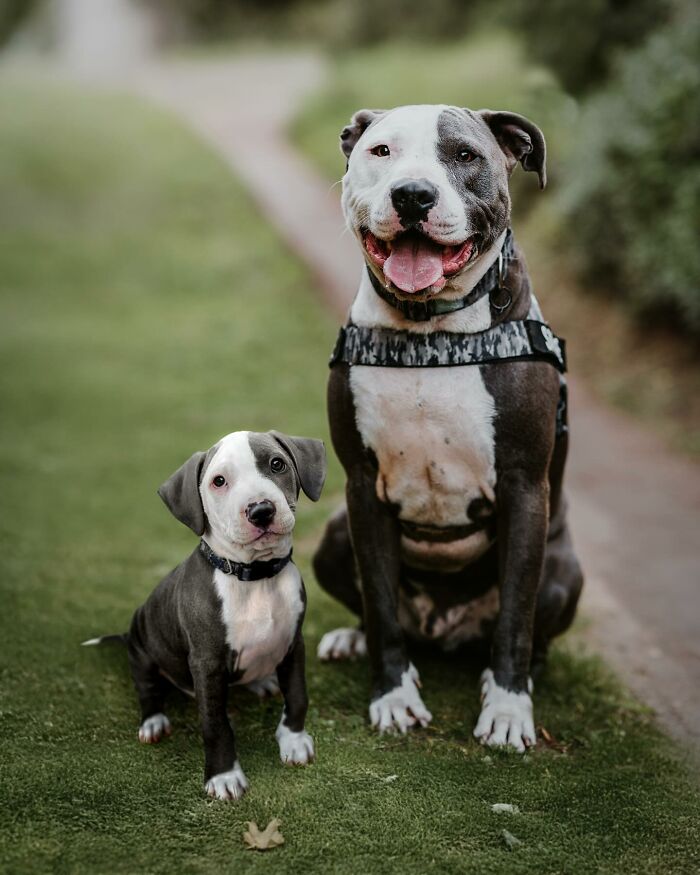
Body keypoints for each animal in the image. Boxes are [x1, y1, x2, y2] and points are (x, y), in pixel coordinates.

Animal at [84, 430, 328, 800]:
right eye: (219, 481)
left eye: (277, 464)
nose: (261, 510)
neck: (255, 578)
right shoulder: (207, 662)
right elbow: (215, 724)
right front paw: (224, 776)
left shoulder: (292, 643)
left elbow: (298, 695)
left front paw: (294, 741)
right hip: (142, 647)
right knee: (147, 689)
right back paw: (153, 721)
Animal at [314, 104, 584, 752]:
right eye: (381, 151)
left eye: (464, 155)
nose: (413, 194)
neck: (429, 332)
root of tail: (443, 626)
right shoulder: (361, 490)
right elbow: (380, 604)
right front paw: (392, 696)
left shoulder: (523, 487)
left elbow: (515, 616)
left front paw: (508, 709)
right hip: (332, 537)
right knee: (375, 607)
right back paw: (353, 639)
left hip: (564, 573)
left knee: (527, 626)